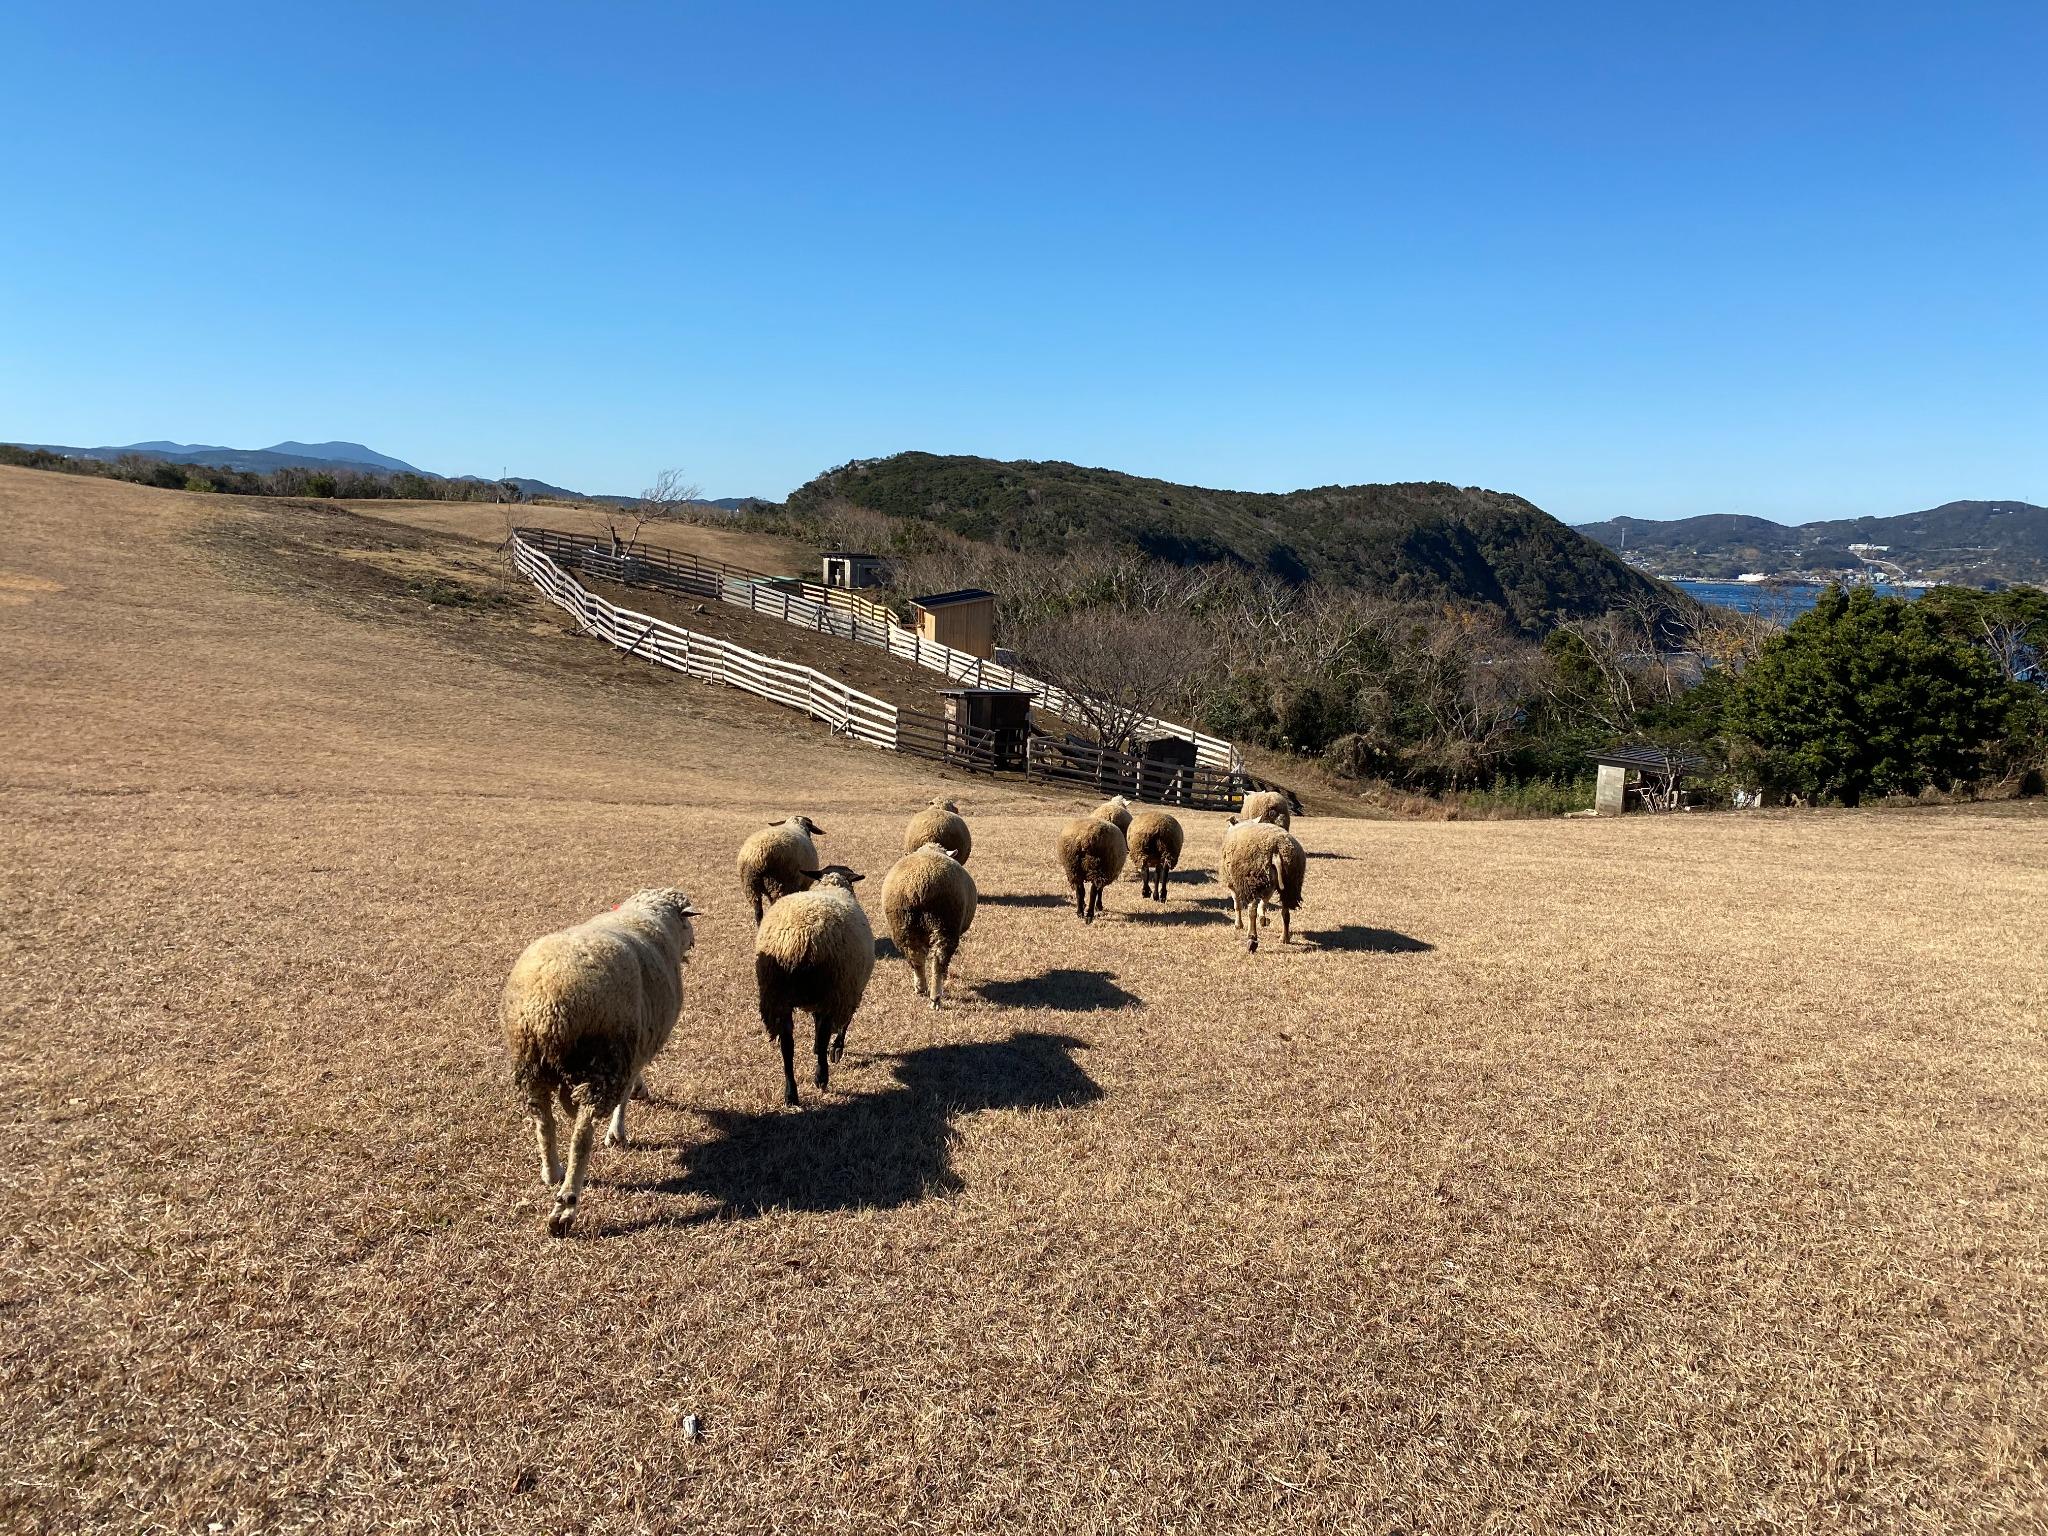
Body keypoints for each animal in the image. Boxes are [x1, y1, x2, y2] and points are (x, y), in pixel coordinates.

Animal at [499, 888, 700, 1236]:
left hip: (530, 1066)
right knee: (581, 1137)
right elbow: (627, 1092)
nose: (695, 941)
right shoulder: (634, 1047)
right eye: (688, 921)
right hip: (602, 1064)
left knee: (544, 1122)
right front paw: (618, 1132)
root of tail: (549, 1005)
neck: (648, 917)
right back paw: (565, 1206)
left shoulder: (635, 1044)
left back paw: (551, 1171)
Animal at [757, 868, 876, 1105]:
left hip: (778, 998)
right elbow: (842, 1026)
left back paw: (791, 1094)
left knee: (787, 1047)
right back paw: (821, 1077)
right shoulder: (848, 992)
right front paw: (836, 1050)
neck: (831, 885)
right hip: (831, 991)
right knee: (821, 1039)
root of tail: (797, 942)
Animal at [880, 843, 974, 1011]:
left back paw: (920, 988)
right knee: (939, 962)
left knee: (915, 958)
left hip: (903, 925)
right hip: (946, 924)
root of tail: (920, 885)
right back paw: (936, 997)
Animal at [1220, 823, 1302, 958]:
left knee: (1251, 911)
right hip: (1290, 884)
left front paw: (1238, 925)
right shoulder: (1269, 886)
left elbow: (1237, 905)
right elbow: (1264, 902)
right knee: (1285, 913)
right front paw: (1263, 919)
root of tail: (1276, 847)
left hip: (1254, 880)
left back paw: (1252, 938)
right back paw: (1284, 938)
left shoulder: (1231, 883)